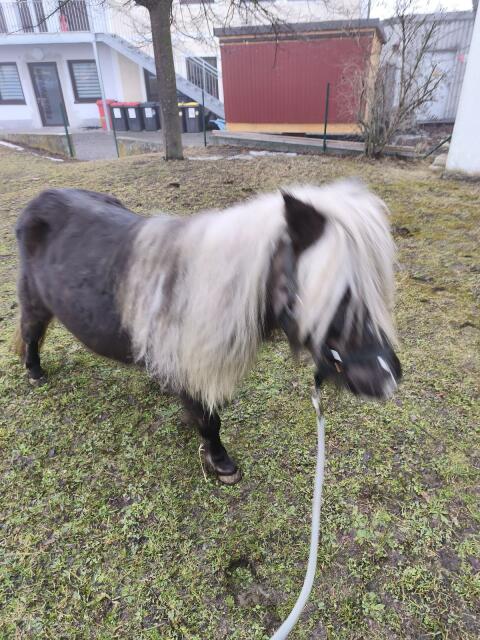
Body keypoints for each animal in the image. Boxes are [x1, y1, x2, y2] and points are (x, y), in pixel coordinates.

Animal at [14, 180, 401, 484]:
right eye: (337, 293)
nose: (387, 378)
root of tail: (40, 200)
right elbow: (210, 420)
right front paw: (221, 463)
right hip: (34, 300)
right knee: (31, 332)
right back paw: (35, 372)